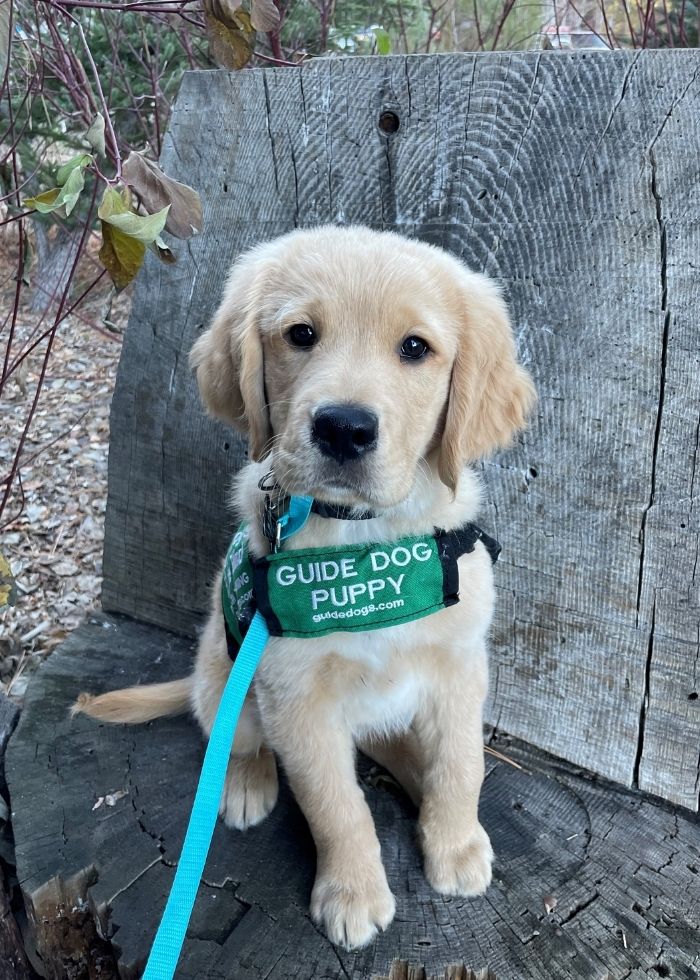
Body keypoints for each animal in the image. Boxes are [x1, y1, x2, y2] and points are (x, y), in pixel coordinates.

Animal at [75, 224, 536, 948]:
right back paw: (244, 784)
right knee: (237, 739)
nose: (344, 428)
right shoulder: (295, 697)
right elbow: (335, 803)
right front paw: (352, 894)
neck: (363, 542)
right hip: (224, 679)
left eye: (415, 348)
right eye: (300, 335)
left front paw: (455, 843)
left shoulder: (459, 666)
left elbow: (462, 763)